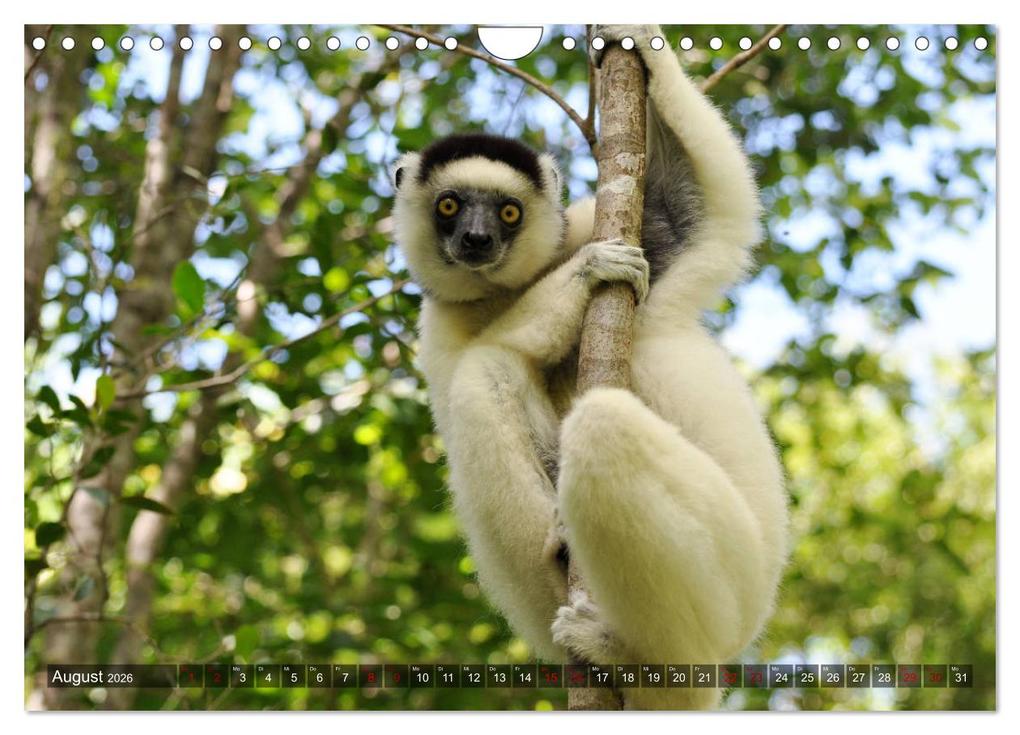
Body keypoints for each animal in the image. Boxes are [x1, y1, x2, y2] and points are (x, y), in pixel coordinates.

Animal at [390, 24, 788, 709]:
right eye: (448, 206)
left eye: (508, 212)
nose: (476, 241)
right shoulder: (438, 332)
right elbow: (480, 362)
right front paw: (584, 275)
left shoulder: (609, 228)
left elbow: (690, 207)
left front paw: (637, 40)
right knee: (496, 384)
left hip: (737, 577)